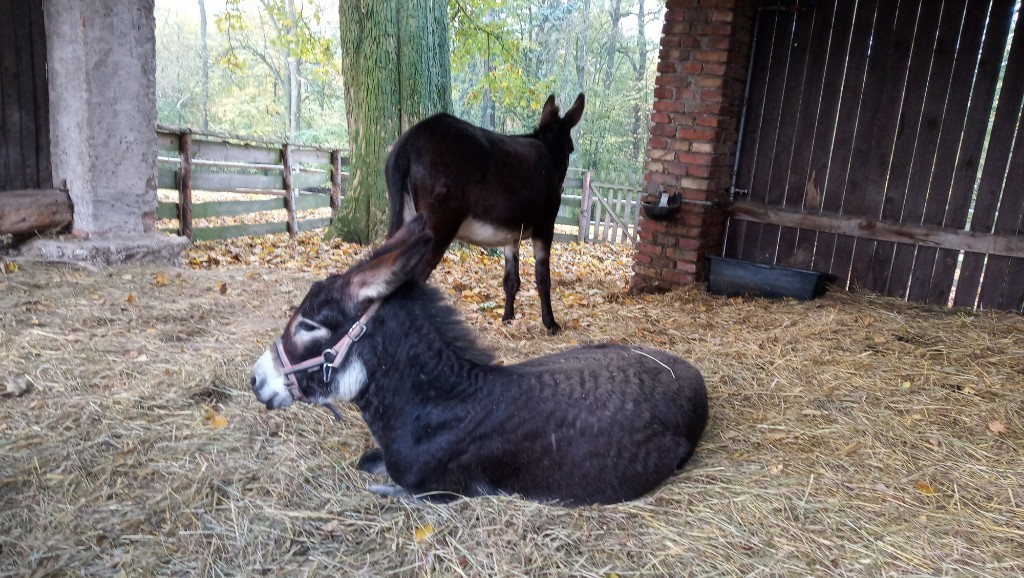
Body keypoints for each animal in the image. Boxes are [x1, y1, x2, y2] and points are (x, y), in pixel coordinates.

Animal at [250, 215, 709, 506]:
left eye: (309, 325)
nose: (256, 380)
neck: (444, 402)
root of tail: (689, 371)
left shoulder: (441, 492)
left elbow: (393, 488)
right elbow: (367, 461)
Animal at [385, 93, 585, 334]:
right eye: (571, 148)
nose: (562, 188)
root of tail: (409, 143)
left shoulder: (511, 234)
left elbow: (511, 280)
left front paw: (507, 317)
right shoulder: (545, 227)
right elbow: (543, 277)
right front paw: (551, 323)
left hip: (405, 218)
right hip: (438, 226)